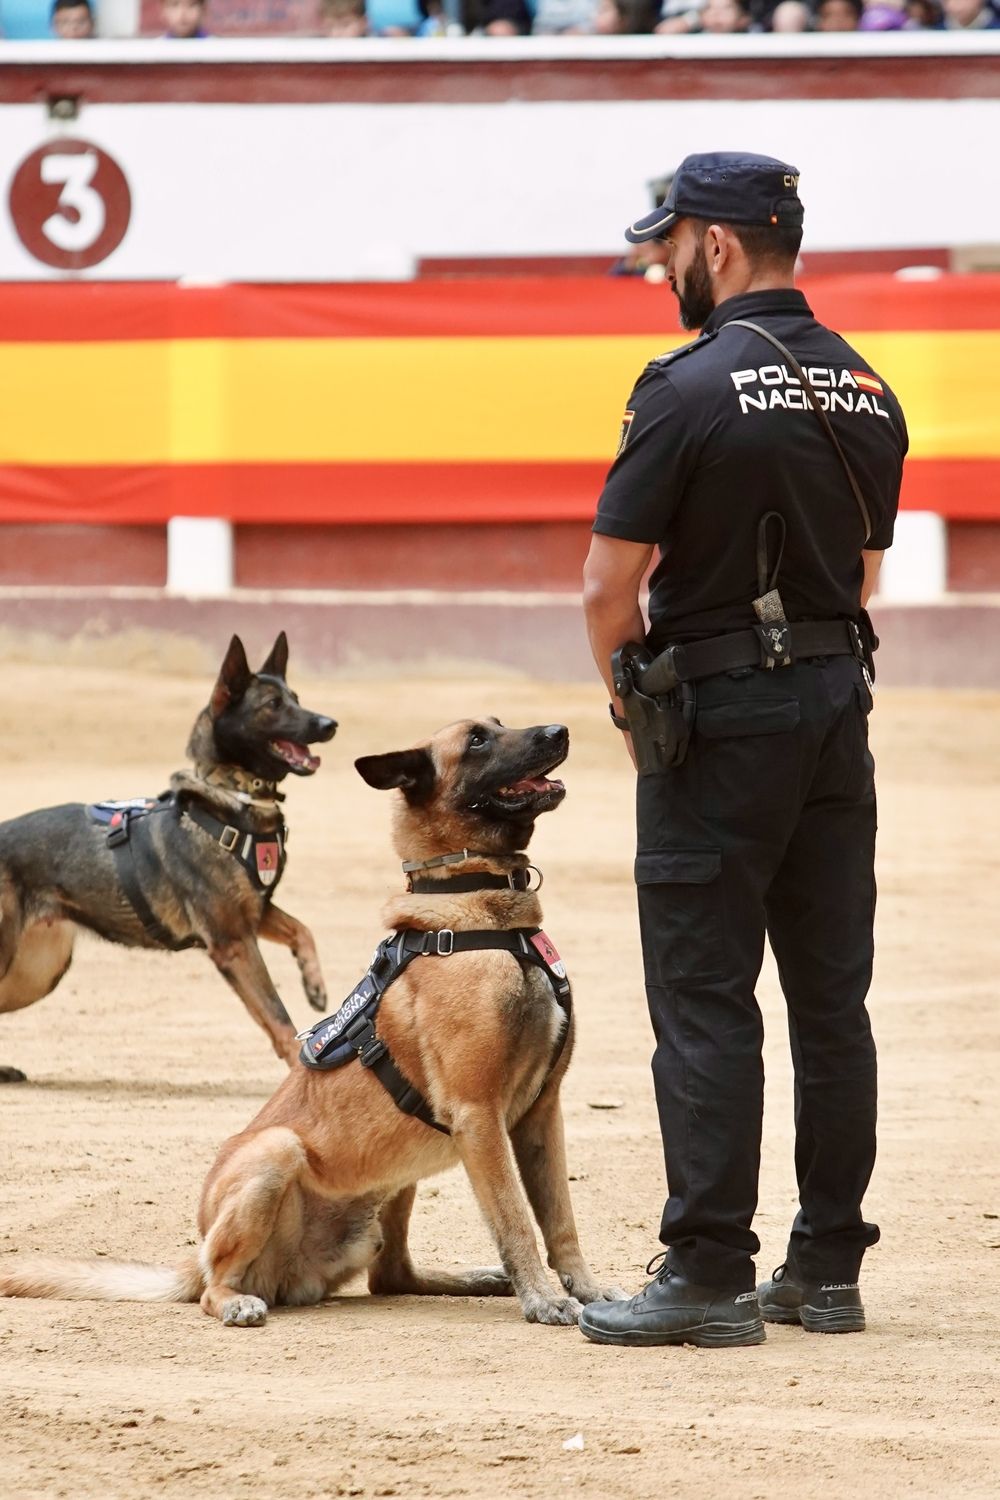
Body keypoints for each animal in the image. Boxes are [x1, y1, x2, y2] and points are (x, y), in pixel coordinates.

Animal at [0, 633, 335, 1080]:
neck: (233, 797)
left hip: (36, 972)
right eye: (272, 705)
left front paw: (314, 984)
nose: (329, 724)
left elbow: (302, 930)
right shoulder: (233, 942)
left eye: (296, 698)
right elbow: (279, 1019)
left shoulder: (254, 913)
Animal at [0, 720, 620, 1332]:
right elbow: (516, 1219)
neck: (475, 909)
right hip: (276, 1152)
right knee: (214, 1289)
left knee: (391, 1276)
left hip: (397, 1182)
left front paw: (586, 1290)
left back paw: (469, 1279)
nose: (559, 730)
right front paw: (542, 1298)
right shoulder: (479, 1116)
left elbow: (560, 1220)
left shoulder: (542, 1113)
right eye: (477, 740)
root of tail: (197, 1260)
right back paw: (235, 1302)